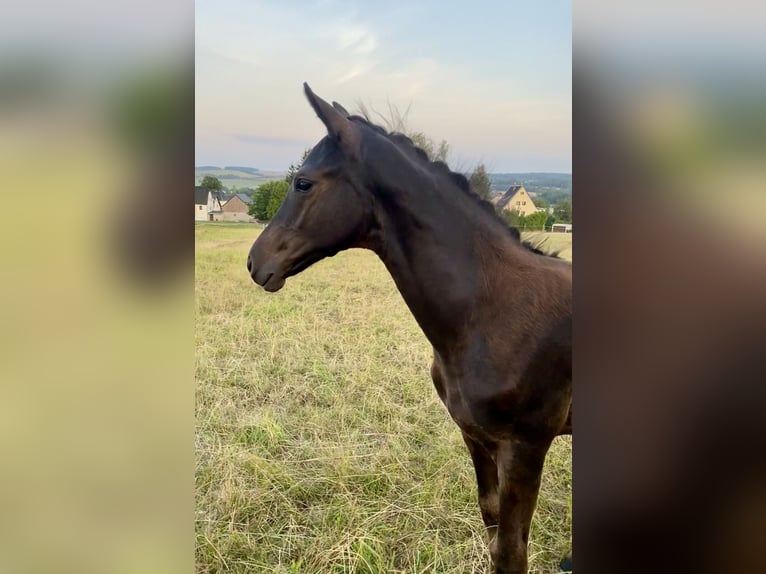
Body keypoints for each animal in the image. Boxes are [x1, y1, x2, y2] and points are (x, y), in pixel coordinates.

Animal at [249, 82, 572, 574]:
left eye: (303, 182)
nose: (255, 262)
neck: (490, 311)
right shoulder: (476, 437)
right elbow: (491, 523)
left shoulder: (526, 446)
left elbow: (510, 552)